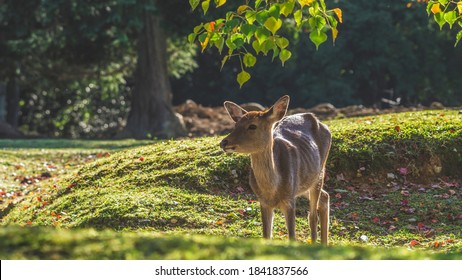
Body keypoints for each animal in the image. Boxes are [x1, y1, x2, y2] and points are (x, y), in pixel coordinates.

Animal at [220, 95, 332, 244]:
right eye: (235, 125)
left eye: (252, 126)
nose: (224, 142)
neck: (272, 190)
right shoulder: (263, 202)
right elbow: (266, 235)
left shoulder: (289, 200)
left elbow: (292, 236)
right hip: (303, 184)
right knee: (325, 197)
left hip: (319, 173)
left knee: (313, 215)